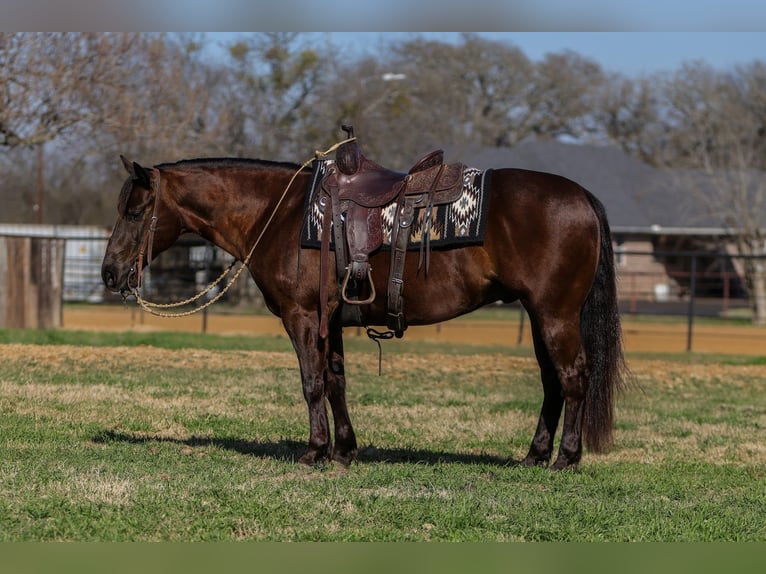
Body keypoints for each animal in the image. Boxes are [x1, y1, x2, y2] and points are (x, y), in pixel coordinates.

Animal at [101, 151, 625, 471]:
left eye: (134, 211)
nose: (109, 273)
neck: (280, 213)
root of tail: (581, 196)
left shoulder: (302, 317)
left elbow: (312, 383)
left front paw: (315, 451)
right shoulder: (329, 321)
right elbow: (335, 382)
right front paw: (344, 450)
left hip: (555, 315)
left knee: (573, 376)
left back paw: (566, 458)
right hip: (540, 317)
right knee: (553, 382)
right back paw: (536, 455)